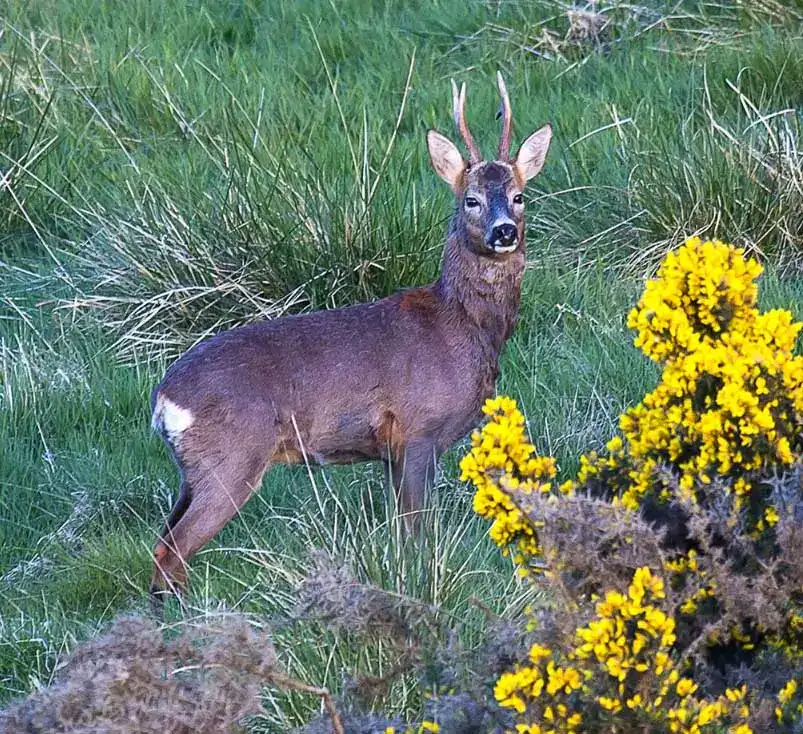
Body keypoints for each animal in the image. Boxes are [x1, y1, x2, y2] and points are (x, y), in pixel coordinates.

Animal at [149, 73, 552, 608]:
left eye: (519, 195)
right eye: (470, 199)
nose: (504, 231)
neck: (461, 326)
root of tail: (164, 399)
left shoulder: (391, 450)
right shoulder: (418, 430)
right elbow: (415, 532)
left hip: (190, 473)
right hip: (230, 459)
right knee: (171, 548)